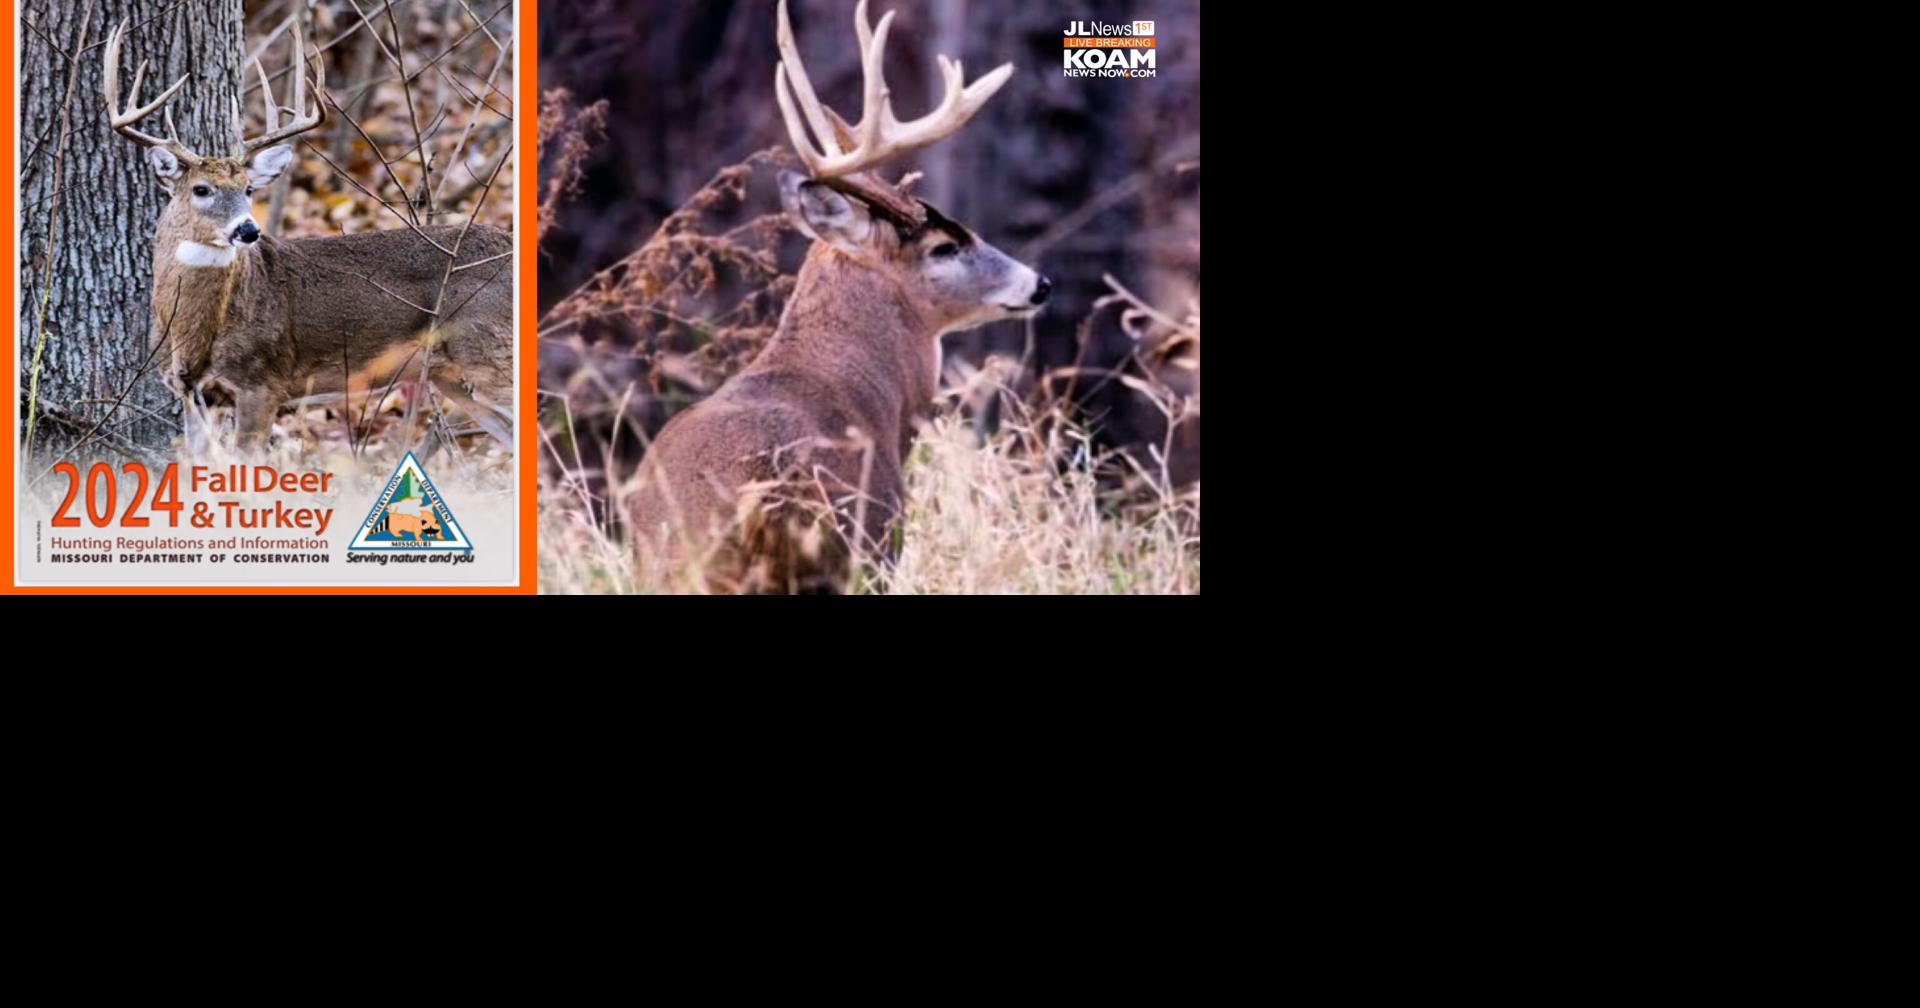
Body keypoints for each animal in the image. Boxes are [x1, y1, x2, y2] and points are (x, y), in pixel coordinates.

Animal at [102, 19, 514, 456]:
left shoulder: (262, 382)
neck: (192, 331)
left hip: (491, 350)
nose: (249, 230)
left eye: (249, 188)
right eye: (201, 189)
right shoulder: (191, 394)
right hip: (452, 376)